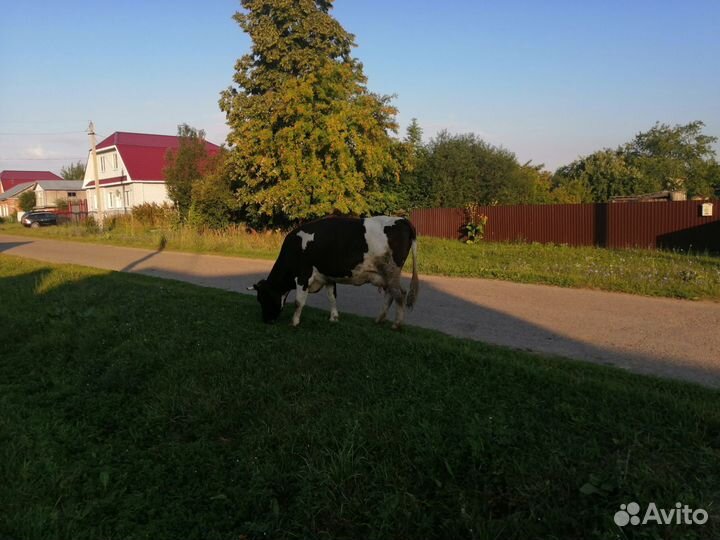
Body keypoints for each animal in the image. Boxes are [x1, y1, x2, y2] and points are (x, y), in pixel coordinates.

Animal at [249, 215, 419, 329]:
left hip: (391, 271)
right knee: (391, 294)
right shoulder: (327, 276)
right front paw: (334, 318)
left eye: (262, 298)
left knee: (400, 294)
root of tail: (402, 220)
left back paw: (397, 324)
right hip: (386, 275)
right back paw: (379, 319)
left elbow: (298, 302)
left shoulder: (303, 276)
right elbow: (332, 296)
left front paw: (294, 322)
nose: (266, 320)